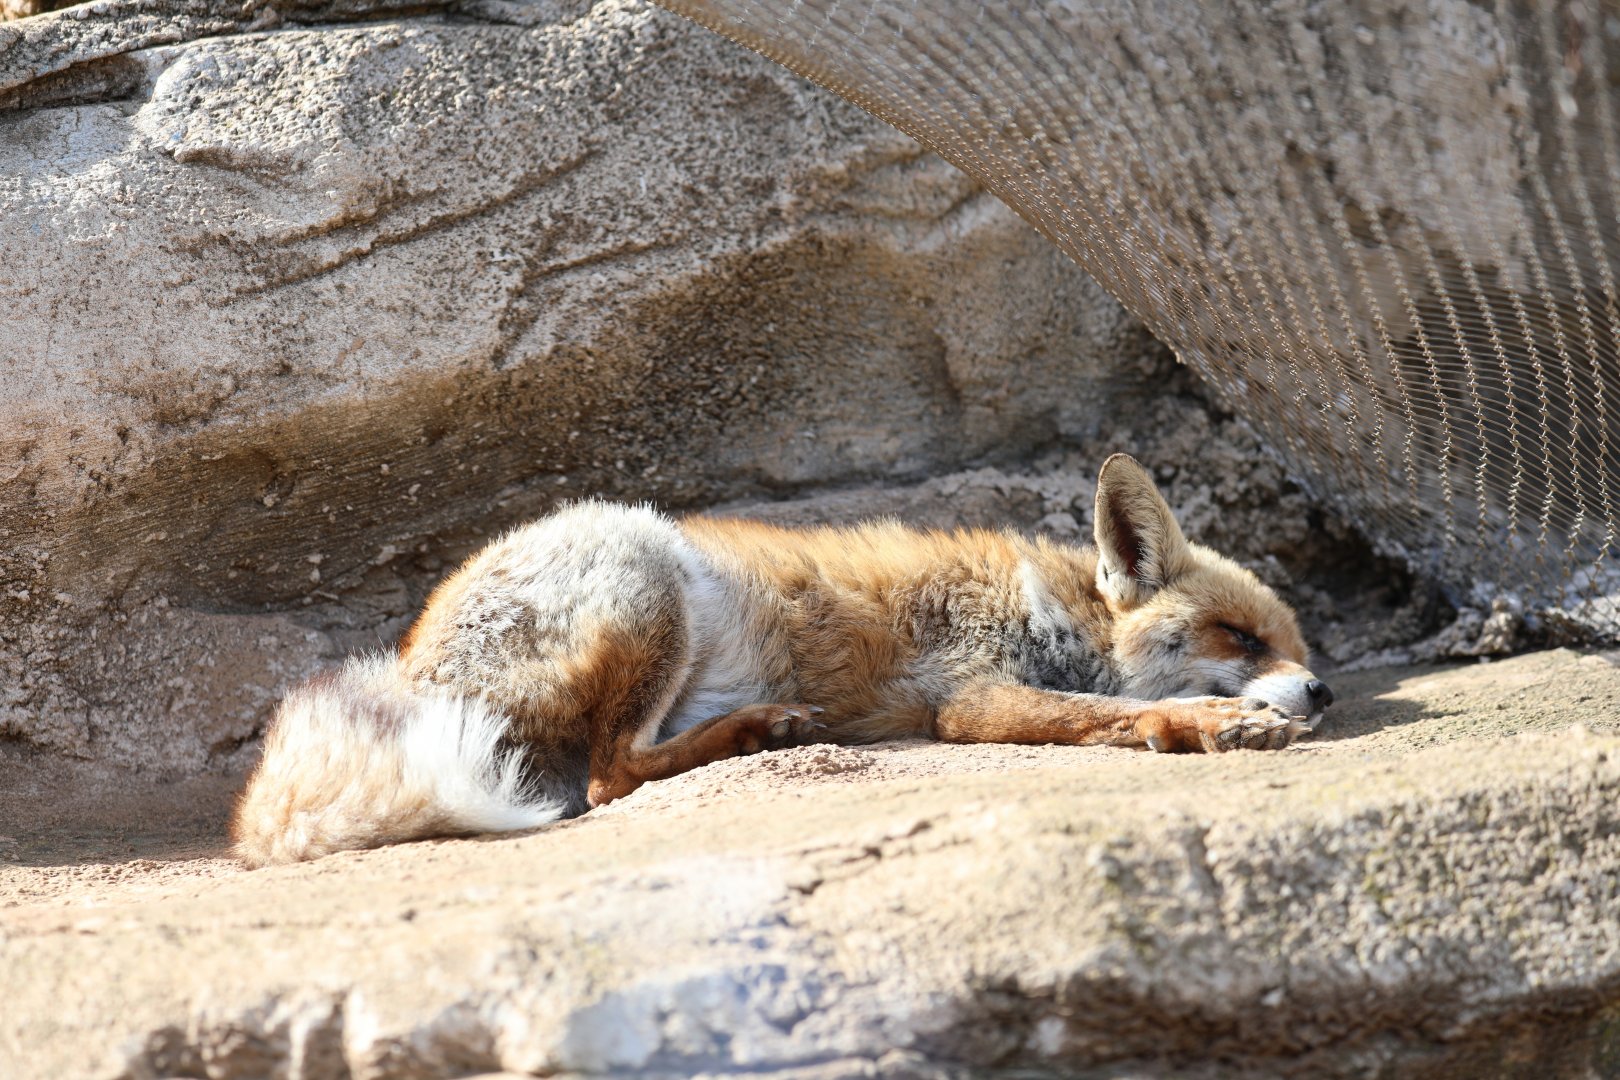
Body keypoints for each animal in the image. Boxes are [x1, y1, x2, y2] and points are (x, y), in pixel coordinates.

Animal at [232, 453, 1334, 867]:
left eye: (1296, 640)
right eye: (1239, 638)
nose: (1321, 687)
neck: (1051, 610)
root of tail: (412, 664)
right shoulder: (965, 696)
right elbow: (1105, 716)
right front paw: (1213, 723)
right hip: (645, 571)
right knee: (610, 776)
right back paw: (754, 729)